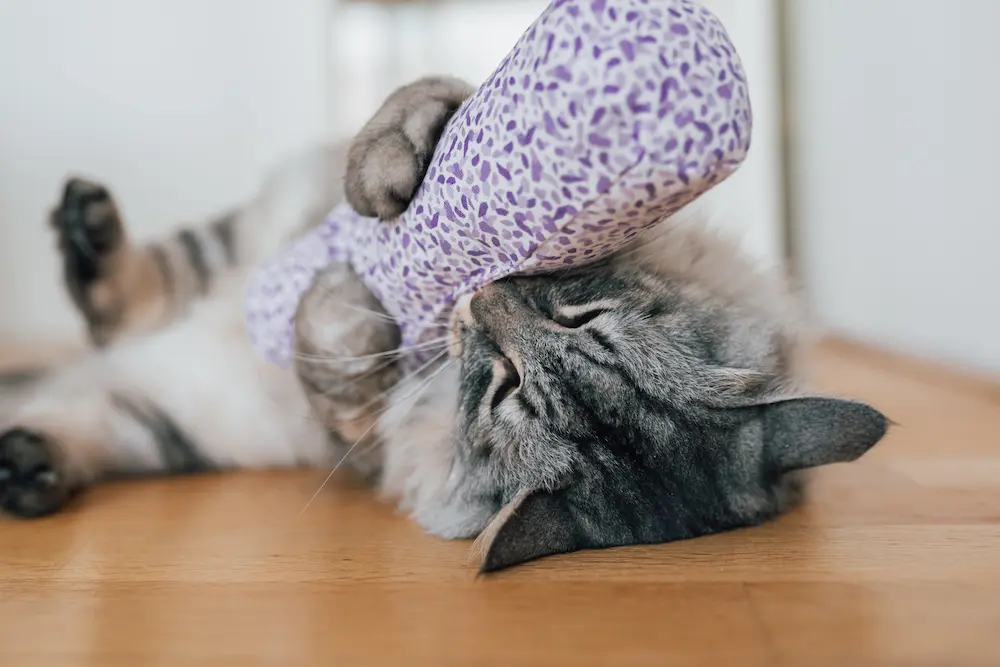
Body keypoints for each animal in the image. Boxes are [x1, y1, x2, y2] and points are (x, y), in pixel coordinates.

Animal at [0, 77, 892, 568]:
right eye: (584, 317)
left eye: (502, 388)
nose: (482, 298)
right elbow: (434, 96)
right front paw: (404, 149)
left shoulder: (358, 442)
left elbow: (346, 377)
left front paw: (341, 306)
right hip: (229, 249)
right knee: (133, 291)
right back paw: (87, 225)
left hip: (166, 424)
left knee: (96, 371)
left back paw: (25, 464)